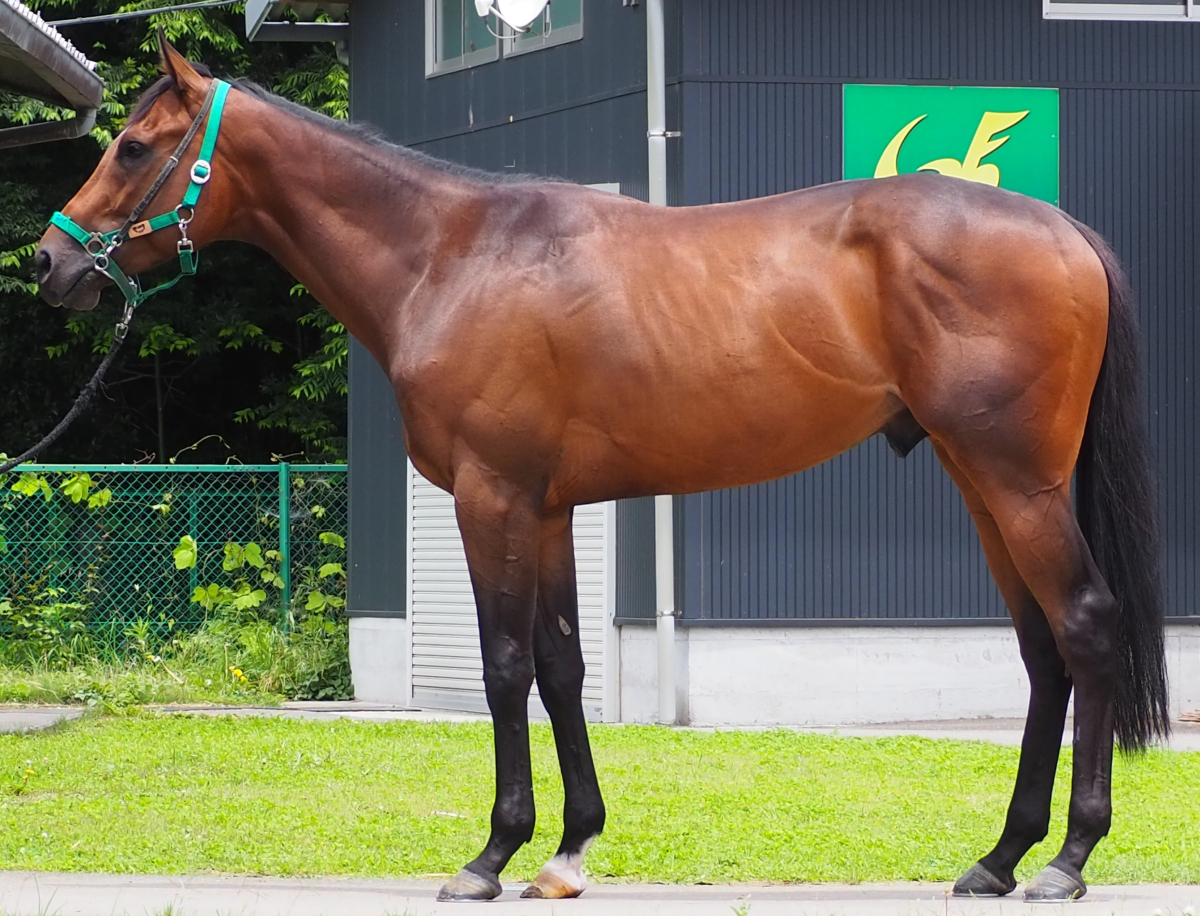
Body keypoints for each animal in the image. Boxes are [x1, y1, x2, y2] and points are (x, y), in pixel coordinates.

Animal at [35, 35, 1169, 903]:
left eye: (134, 145)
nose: (49, 263)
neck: (450, 254)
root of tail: (1064, 228)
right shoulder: (546, 510)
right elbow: (564, 666)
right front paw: (569, 851)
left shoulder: (491, 497)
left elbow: (503, 667)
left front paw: (490, 856)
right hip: (987, 487)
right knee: (1042, 651)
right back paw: (998, 857)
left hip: (1017, 483)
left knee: (1084, 627)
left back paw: (1066, 861)